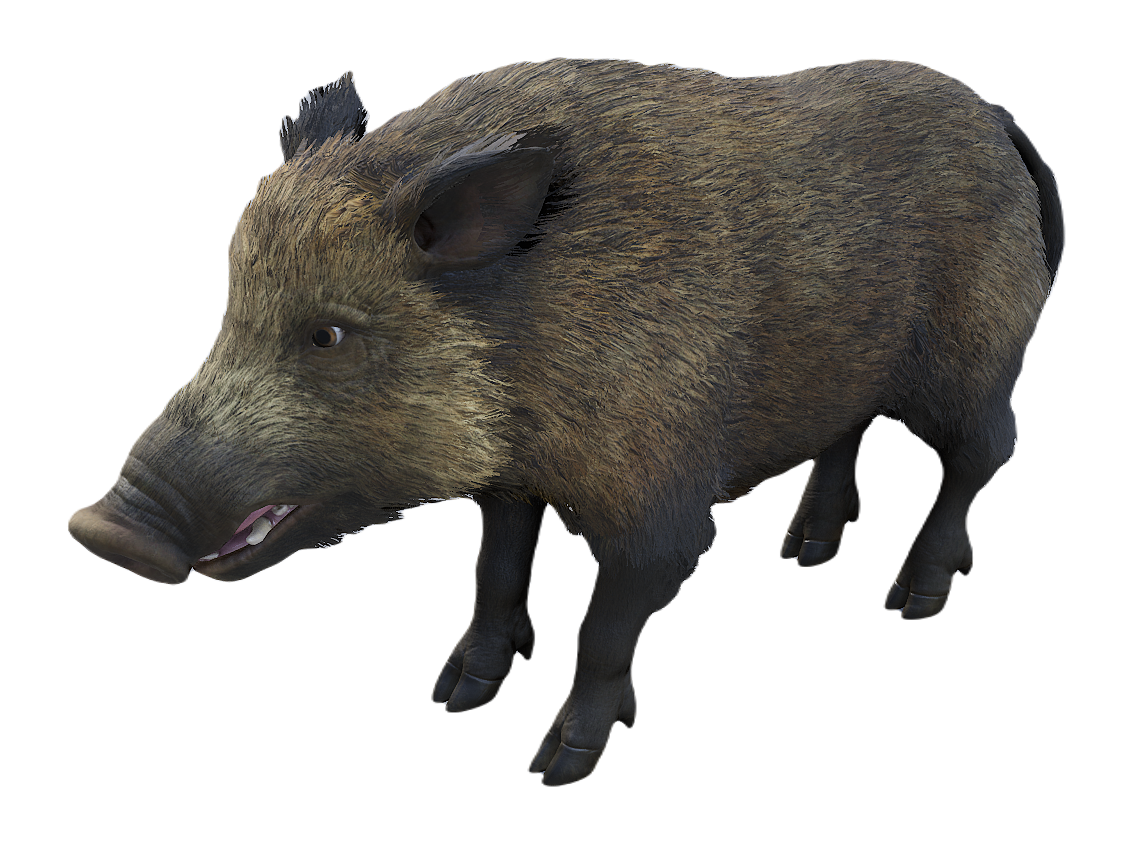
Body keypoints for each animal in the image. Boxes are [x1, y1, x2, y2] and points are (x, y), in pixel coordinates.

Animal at [67, 59, 1063, 785]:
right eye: (233, 305)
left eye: (329, 334)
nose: (104, 528)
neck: (534, 350)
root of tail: (997, 117)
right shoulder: (513, 481)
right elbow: (496, 573)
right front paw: (455, 696)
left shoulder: (659, 507)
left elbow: (606, 627)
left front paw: (559, 765)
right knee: (844, 435)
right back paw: (803, 554)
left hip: (982, 354)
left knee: (984, 456)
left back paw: (914, 598)